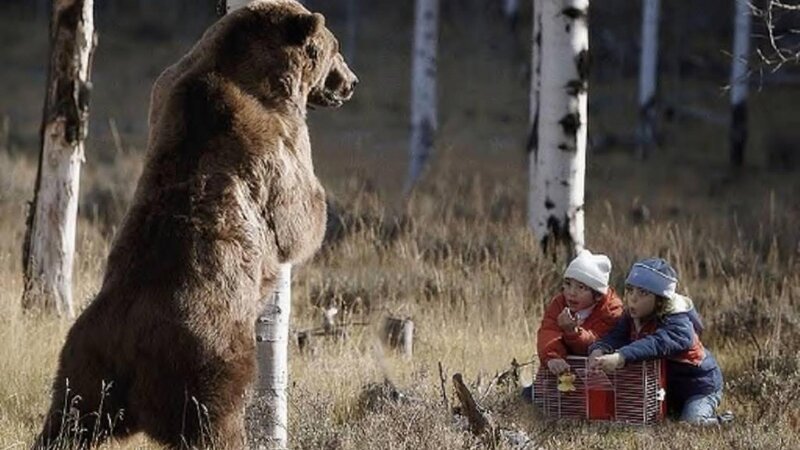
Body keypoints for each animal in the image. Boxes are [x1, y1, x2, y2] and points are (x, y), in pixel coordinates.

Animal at [34, 1, 357, 448]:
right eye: (335, 48)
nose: (351, 82)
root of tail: (129, 346)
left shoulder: (168, 88)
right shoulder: (275, 136)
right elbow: (297, 214)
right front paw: (317, 214)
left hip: (84, 366)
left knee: (68, 419)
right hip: (207, 365)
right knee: (214, 424)